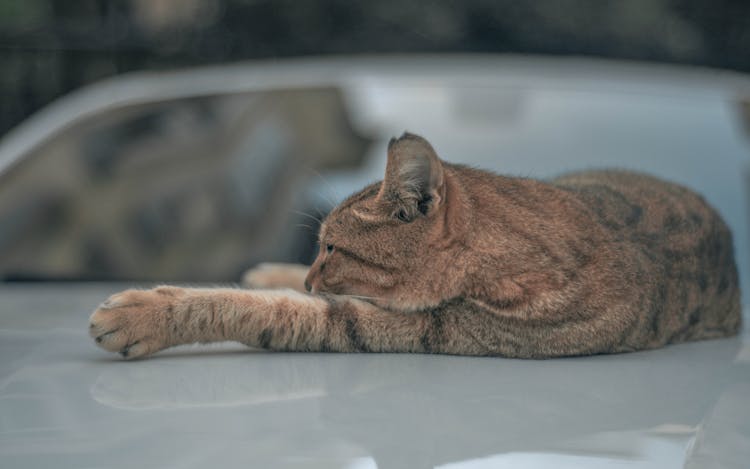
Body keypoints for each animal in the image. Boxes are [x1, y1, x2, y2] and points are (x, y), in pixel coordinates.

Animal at [88, 132, 740, 358]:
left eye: (332, 248)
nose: (311, 275)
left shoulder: (402, 325)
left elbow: (261, 312)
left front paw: (146, 314)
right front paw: (277, 276)